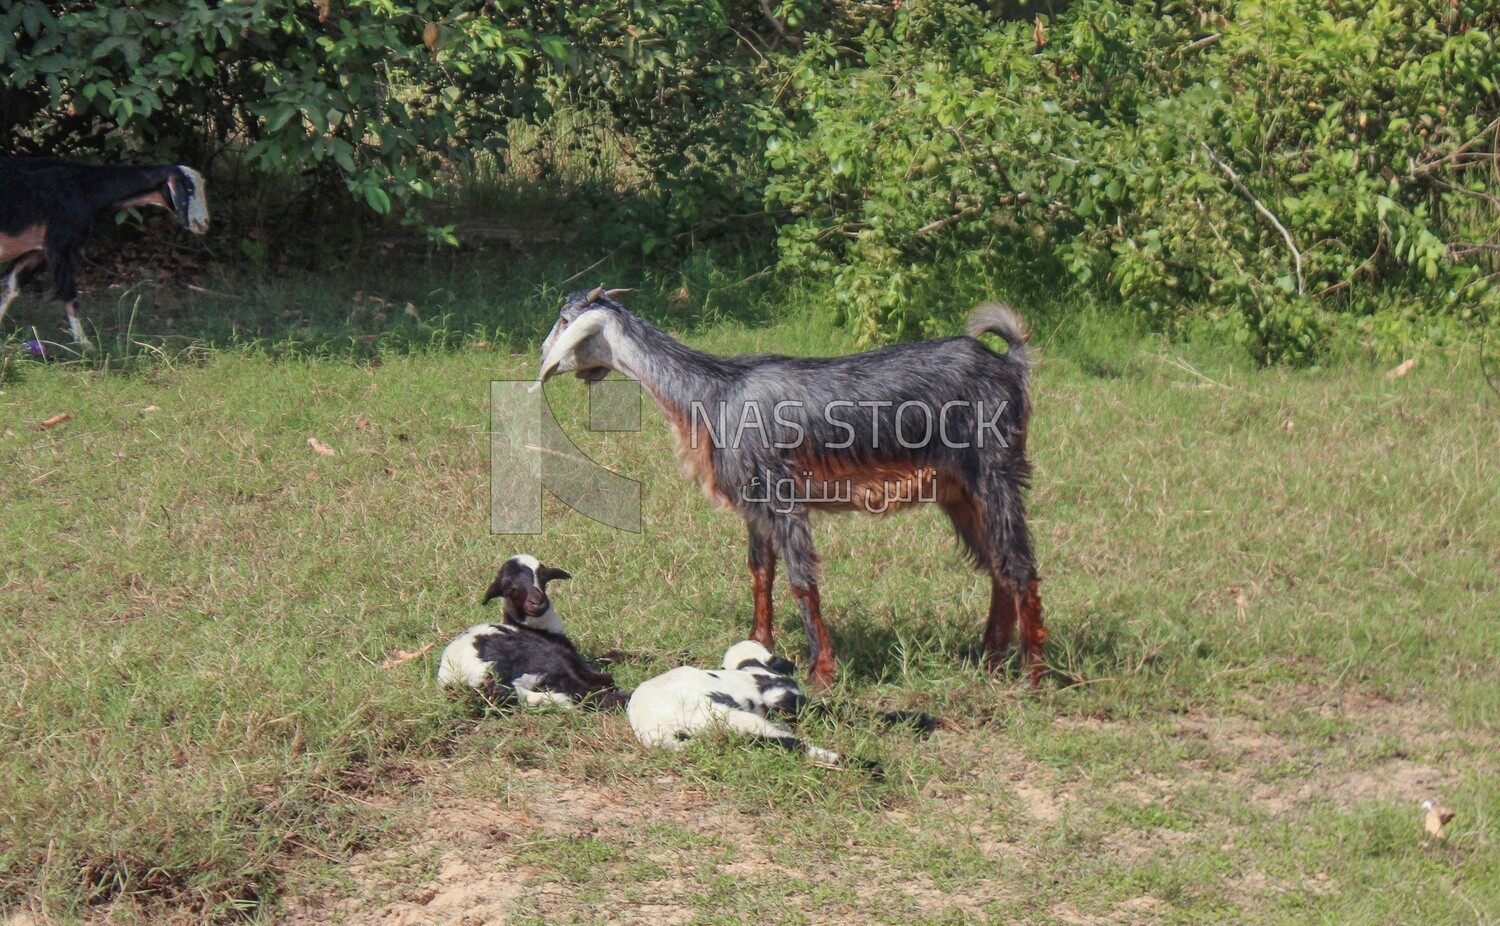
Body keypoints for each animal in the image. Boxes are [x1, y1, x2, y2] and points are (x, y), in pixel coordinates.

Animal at [0, 156, 208, 345]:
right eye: (189, 189)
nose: (204, 223)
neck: (84, 188)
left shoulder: (37, 251)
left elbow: (12, 287)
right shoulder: (60, 245)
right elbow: (69, 295)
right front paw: (85, 344)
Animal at [534, 286, 1050, 687]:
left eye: (564, 321)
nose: (539, 357)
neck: (714, 391)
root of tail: (1010, 365)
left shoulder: (784, 496)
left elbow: (802, 582)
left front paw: (821, 673)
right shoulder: (754, 505)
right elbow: (760, 572)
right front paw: (757, 645)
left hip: (996, 473)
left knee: (1020, 566)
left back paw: (1032, 676)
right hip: (959, 492)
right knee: (997, 564)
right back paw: (990, 658)